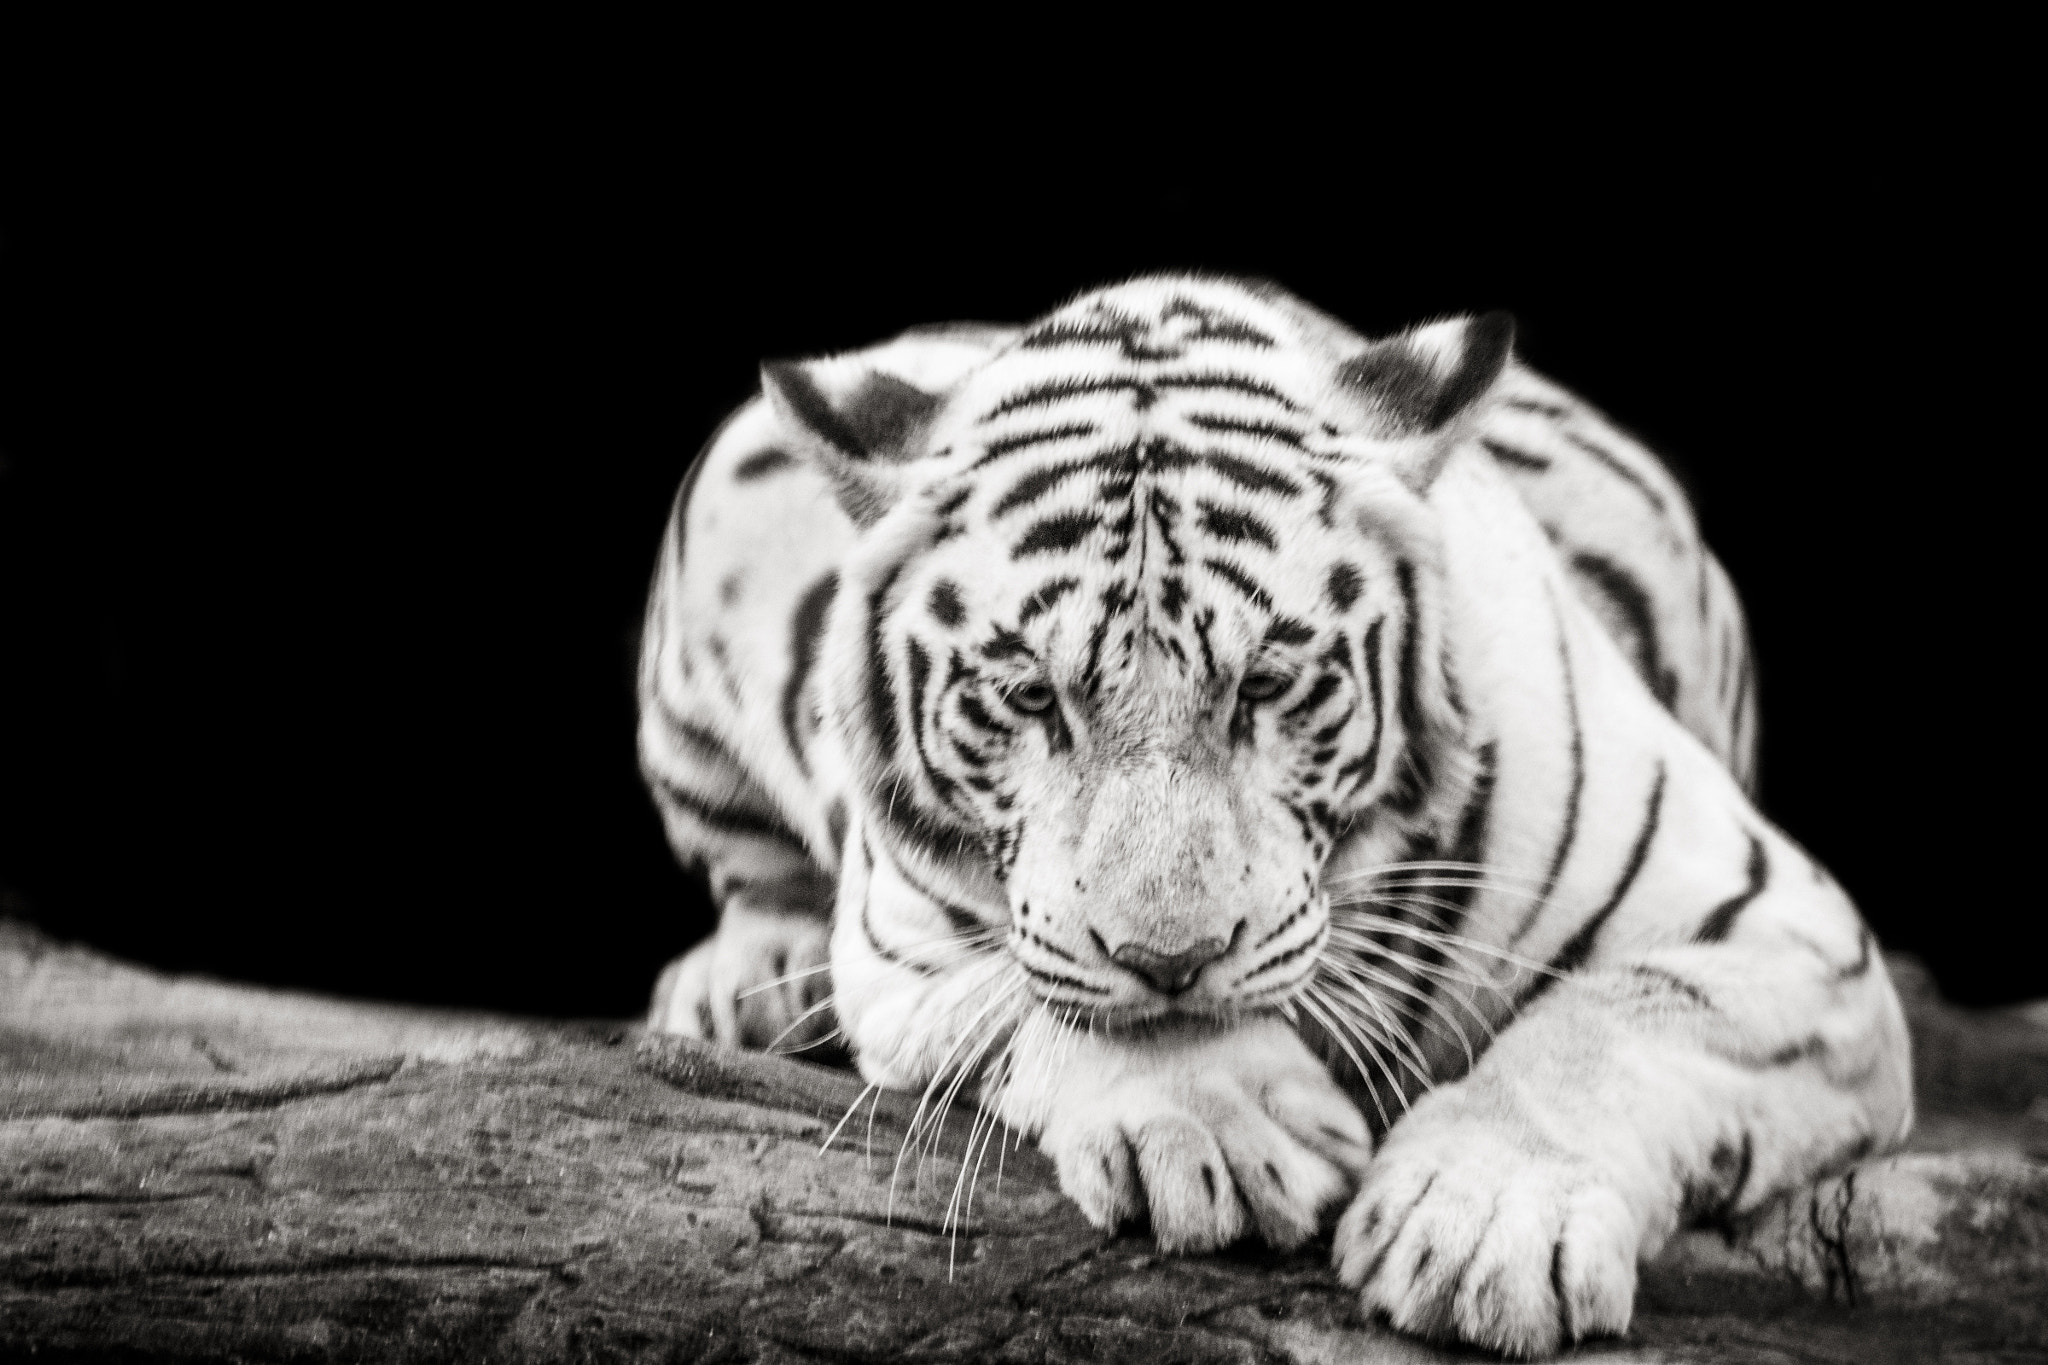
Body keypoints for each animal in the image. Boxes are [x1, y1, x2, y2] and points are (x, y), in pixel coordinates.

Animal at [635, 275, 1911, 1357]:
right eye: (1031, 697)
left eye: (1264, 685)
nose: (1172, 959)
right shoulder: (902, 933)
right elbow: (1062, 992)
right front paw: (1225, 1121)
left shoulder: (1779, 930)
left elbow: (1609, 1026)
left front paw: (1482, 1224)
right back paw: (749, 984)